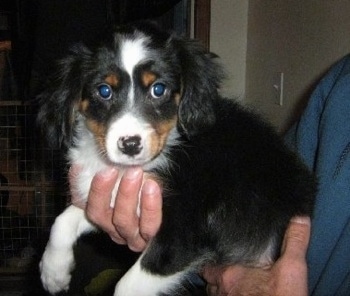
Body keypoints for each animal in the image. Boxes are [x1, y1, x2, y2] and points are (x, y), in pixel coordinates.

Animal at [37, 22, 316, 294]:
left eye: (158, 89)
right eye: (104, 91)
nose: (130, 145)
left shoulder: (184, 231)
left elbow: (127, 285)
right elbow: (62, 220)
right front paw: (53, 272)